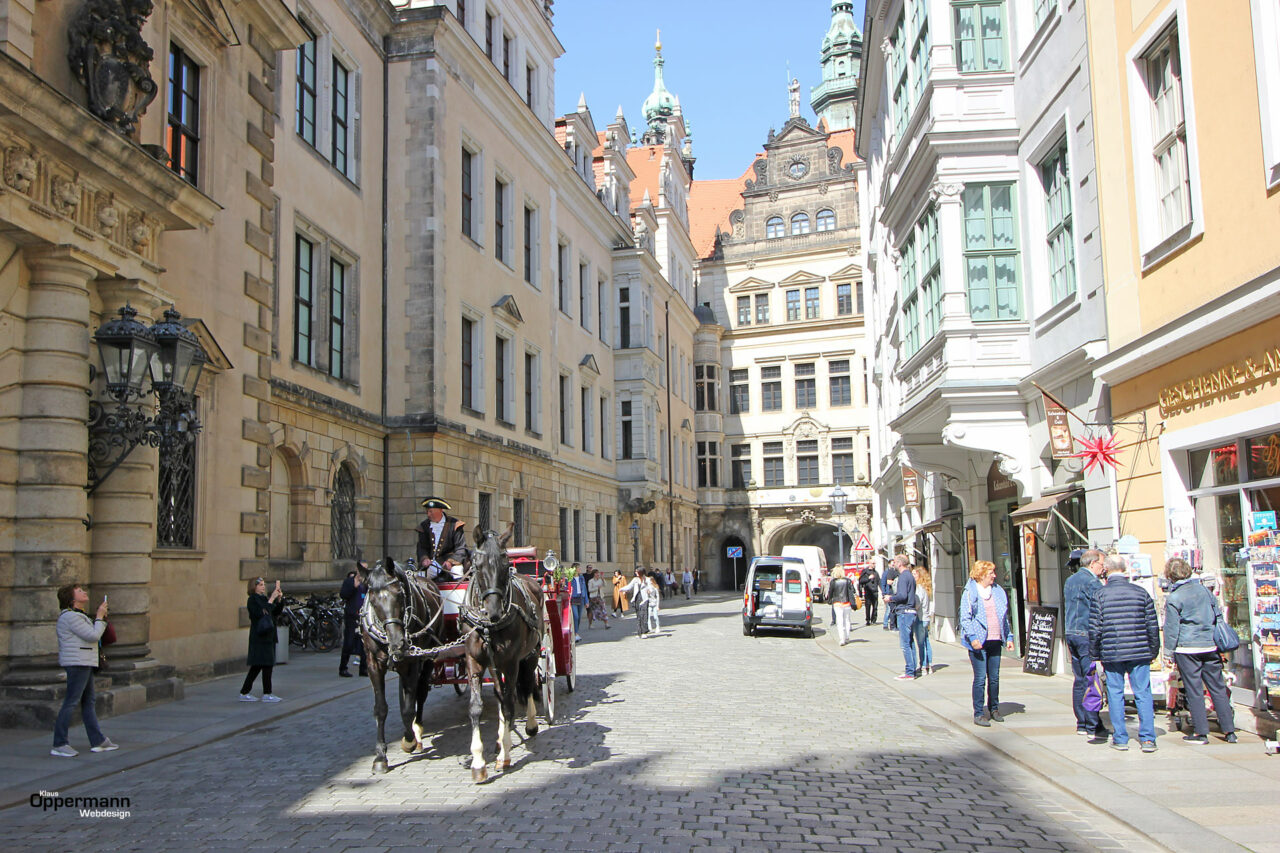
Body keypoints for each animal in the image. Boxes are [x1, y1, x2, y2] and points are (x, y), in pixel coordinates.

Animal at [358, 555, 442, 773]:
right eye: (373, 599)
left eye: (399, 594)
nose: (398, 643)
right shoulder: (373, 664)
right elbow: (381, 708)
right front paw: (380, 757)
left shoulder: (413, 663)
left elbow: (408, 708)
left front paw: (409, 740)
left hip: (428, 658)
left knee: (420, 692)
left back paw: (417, 728)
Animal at [460, 525, 545, 778]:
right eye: (477, 566)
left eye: (505, 565)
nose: (494, 612)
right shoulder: (474, 660)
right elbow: (476, 707)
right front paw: (478, 762)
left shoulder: (512, 661)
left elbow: (508, 705)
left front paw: (504, 755)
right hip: (495, 664)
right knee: (501, 691)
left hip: (531, 654)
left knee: (527, 685)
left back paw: (530, 725)